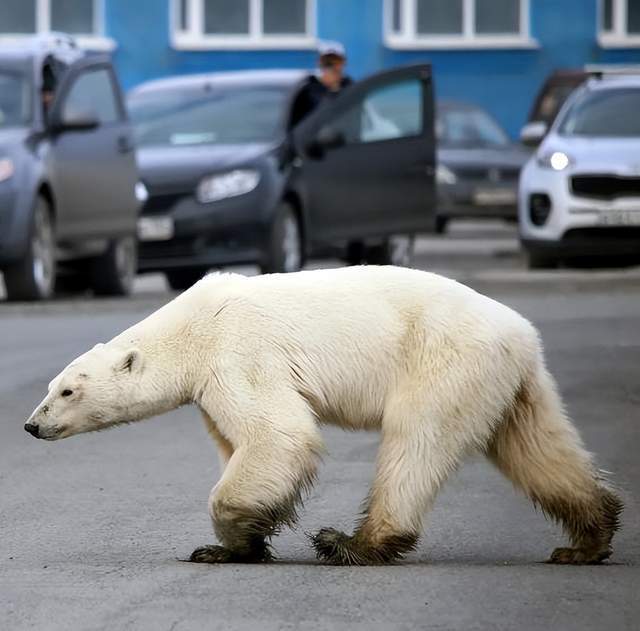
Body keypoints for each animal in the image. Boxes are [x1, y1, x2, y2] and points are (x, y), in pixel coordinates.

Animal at [23, 266, 620, 568]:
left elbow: (278, 434)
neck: (190, 327)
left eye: (68, 390)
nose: (31, 425)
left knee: (415, 440)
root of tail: (522, 333)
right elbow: (238, 442)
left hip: (444, 359)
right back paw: (585, 541)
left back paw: (352, 543)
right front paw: (233, 546)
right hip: (510, 382)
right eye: (50, 387)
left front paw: (229, 539)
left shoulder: (238, 352)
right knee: (536, 447)